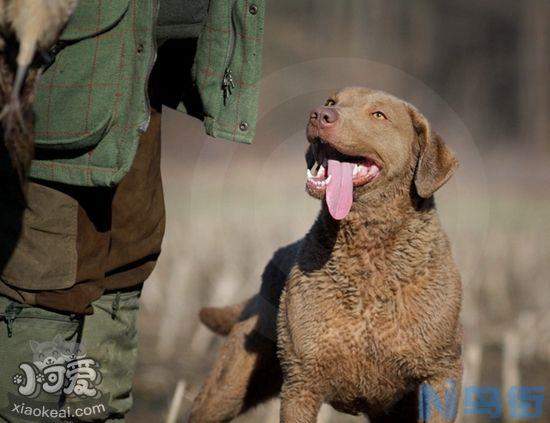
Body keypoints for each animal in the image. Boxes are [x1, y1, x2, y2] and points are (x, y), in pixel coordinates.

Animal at [192, 88, 464, 422]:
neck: (368, 254)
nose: (320, 115)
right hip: (230, 382)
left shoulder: (441, 373)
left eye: (379, 115)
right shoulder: (302, 382)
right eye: (332, 102)